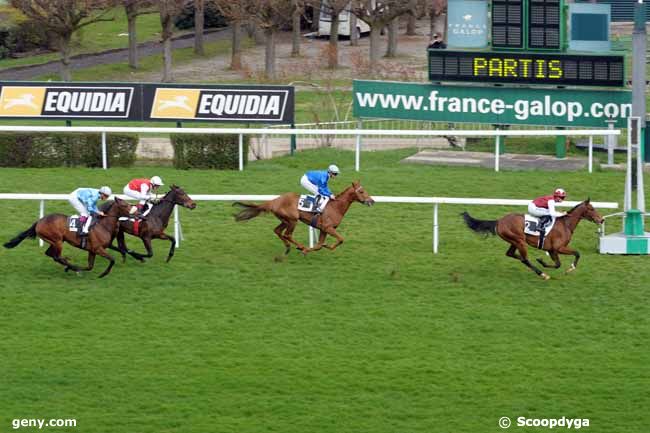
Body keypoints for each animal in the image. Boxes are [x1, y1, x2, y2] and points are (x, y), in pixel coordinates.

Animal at [3, 197, 133, 276]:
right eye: (125, 205)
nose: (136, 212)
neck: (103, 225)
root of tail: (39, 221)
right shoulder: (98, 249)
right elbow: (112, 259)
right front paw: (103, 274)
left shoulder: (92, 250)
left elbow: (90, 266)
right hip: (57, 241)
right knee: (57, 257)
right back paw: (70, 265)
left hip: (54, 241)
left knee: (50, 254)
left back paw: (70, 266)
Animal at [233, 181, 374, 255]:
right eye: (361, 192)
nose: (372, 201)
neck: (335, 206)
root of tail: (274, 201)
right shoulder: (328, 228)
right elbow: (341, 239)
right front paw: (307, 249)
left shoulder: (323, 229)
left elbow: (319, 245)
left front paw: (322, 246)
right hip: (292, 220)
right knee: (287, 234)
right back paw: (299, 246)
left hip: (285, 220)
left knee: (278, 231)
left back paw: (288, 246)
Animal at [460, 197, 604, 278]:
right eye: (592, 208)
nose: (601, 219)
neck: (565, 224)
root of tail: (499, 221)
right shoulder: (559, 248)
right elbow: (576, 253)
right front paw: (570, 268)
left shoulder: (552, 250)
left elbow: (558, 264)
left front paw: (542, 261)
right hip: (519, 241)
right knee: (524, 259)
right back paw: (542, 274)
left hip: (515, 241)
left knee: (512, 254)